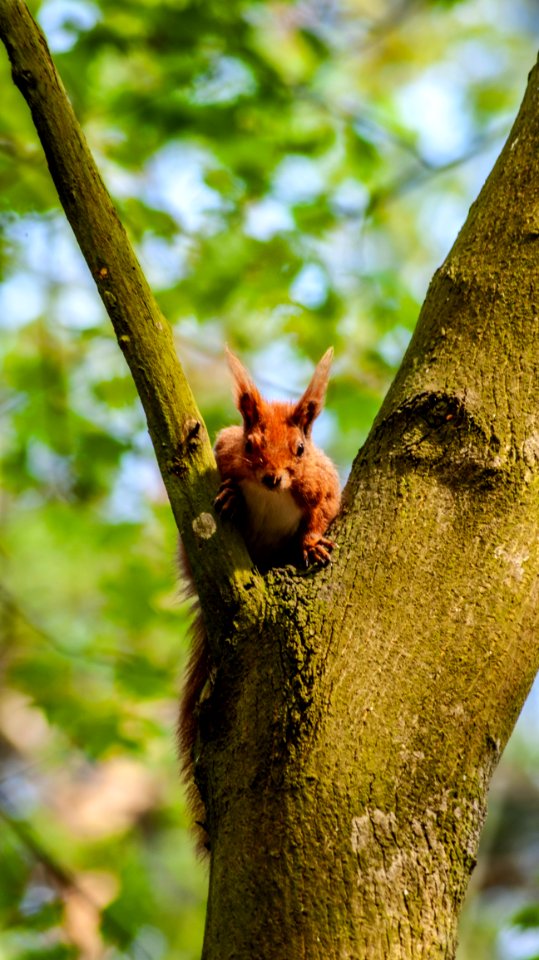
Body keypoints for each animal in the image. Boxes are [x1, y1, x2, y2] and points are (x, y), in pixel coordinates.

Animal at [180, 346, 342, 856]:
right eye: (251, 445)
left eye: (300, 450)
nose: (273, 478)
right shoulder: (222, 453)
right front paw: (231, 495)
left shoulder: (322, 485)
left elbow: (323, 512)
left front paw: (311, 545)